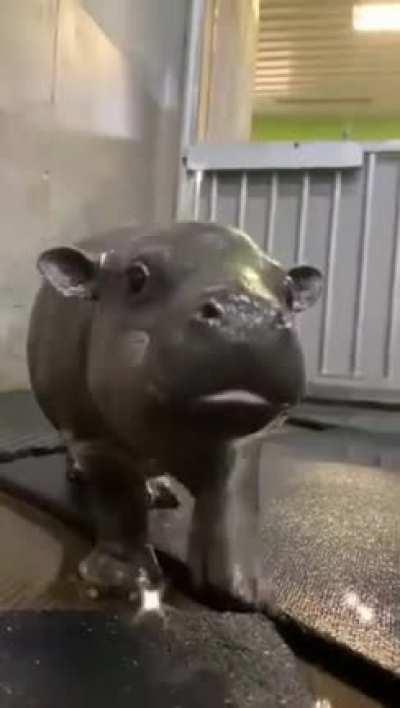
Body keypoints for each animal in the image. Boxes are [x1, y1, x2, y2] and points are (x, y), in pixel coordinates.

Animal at [27, 221, 322, 607]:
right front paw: (120, 581)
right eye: (136, 277)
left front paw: (243, 591)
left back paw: (160, 493)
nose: (246, 316)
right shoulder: (95, 439)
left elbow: (233, 501)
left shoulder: (241, 439)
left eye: (288, 289)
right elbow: (119, 501)